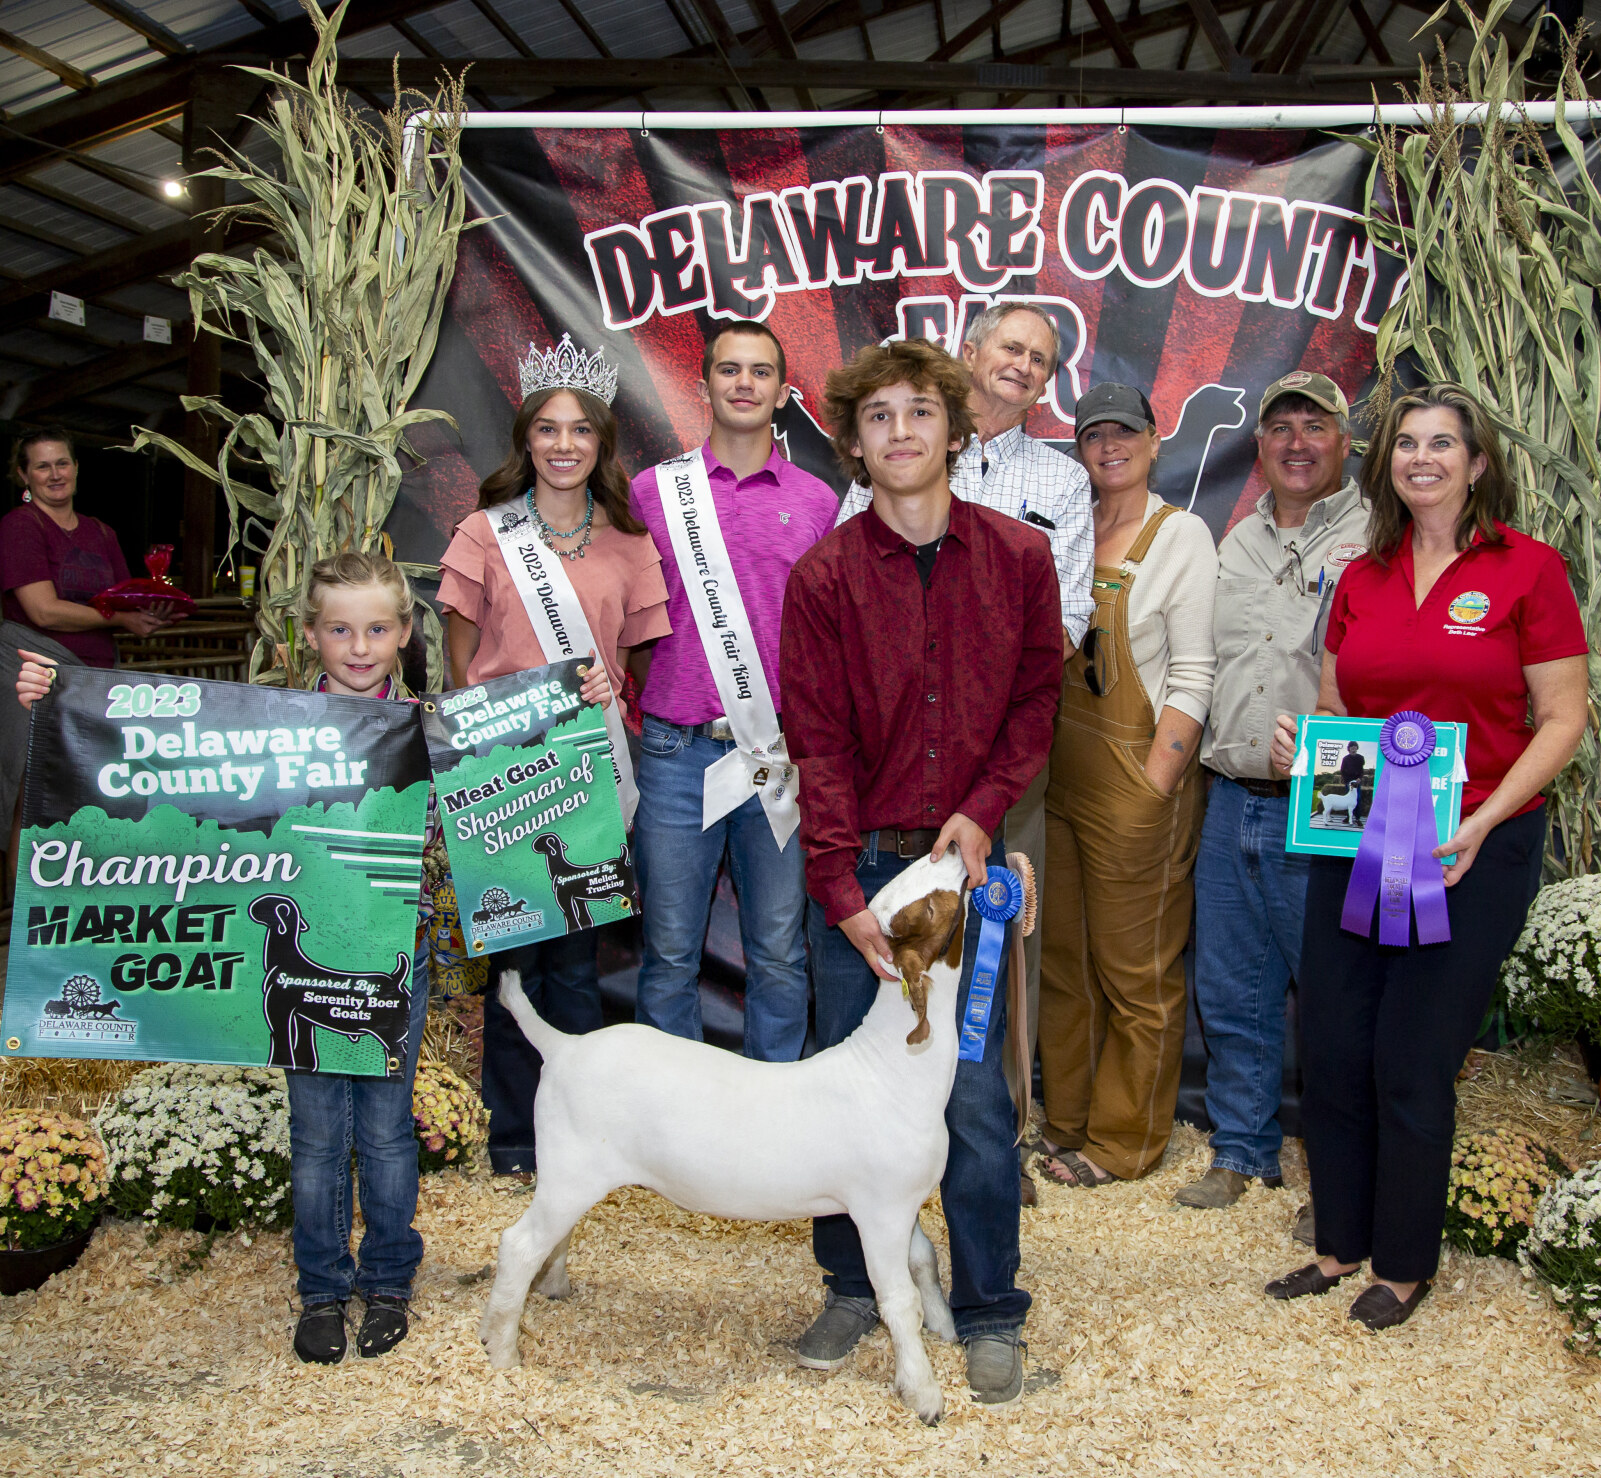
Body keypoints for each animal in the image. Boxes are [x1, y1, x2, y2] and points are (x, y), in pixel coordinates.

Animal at [246, 893, 411, 1072]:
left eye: (269, 903)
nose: (253, 907)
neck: (285, 958)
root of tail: (397, 979)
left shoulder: (278, 1013)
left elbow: (281, 1042)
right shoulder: (303, 1019)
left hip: (392, 1034)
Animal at [478, 847, 975, 1424]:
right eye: (929, 908)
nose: (955, 849)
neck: (891, 1065)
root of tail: (562, 1046)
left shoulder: (903, 1203)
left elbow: (925, 1259)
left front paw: (945, 1328)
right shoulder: (879, 1210)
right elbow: (898, 1299)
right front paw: (924, 1393)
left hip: (569, 1176)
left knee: (550, 1237)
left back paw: (545, 1291)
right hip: (570, 1170)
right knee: (518, 1244)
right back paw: (502, 1349)